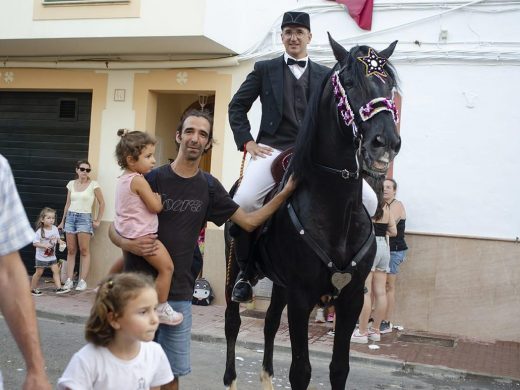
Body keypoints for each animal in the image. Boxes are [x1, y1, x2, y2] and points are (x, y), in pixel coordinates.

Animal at [224, 34, 402, 390]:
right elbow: (301, 371)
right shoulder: (301, 297)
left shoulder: (351, 299)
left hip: (279, 285)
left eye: (389, 84)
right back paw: (231, 380)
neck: (334, 211)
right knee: (232, 324)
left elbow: (339, 369)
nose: (385, 142)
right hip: (234, 270)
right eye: (350, 81)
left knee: (268, 323)